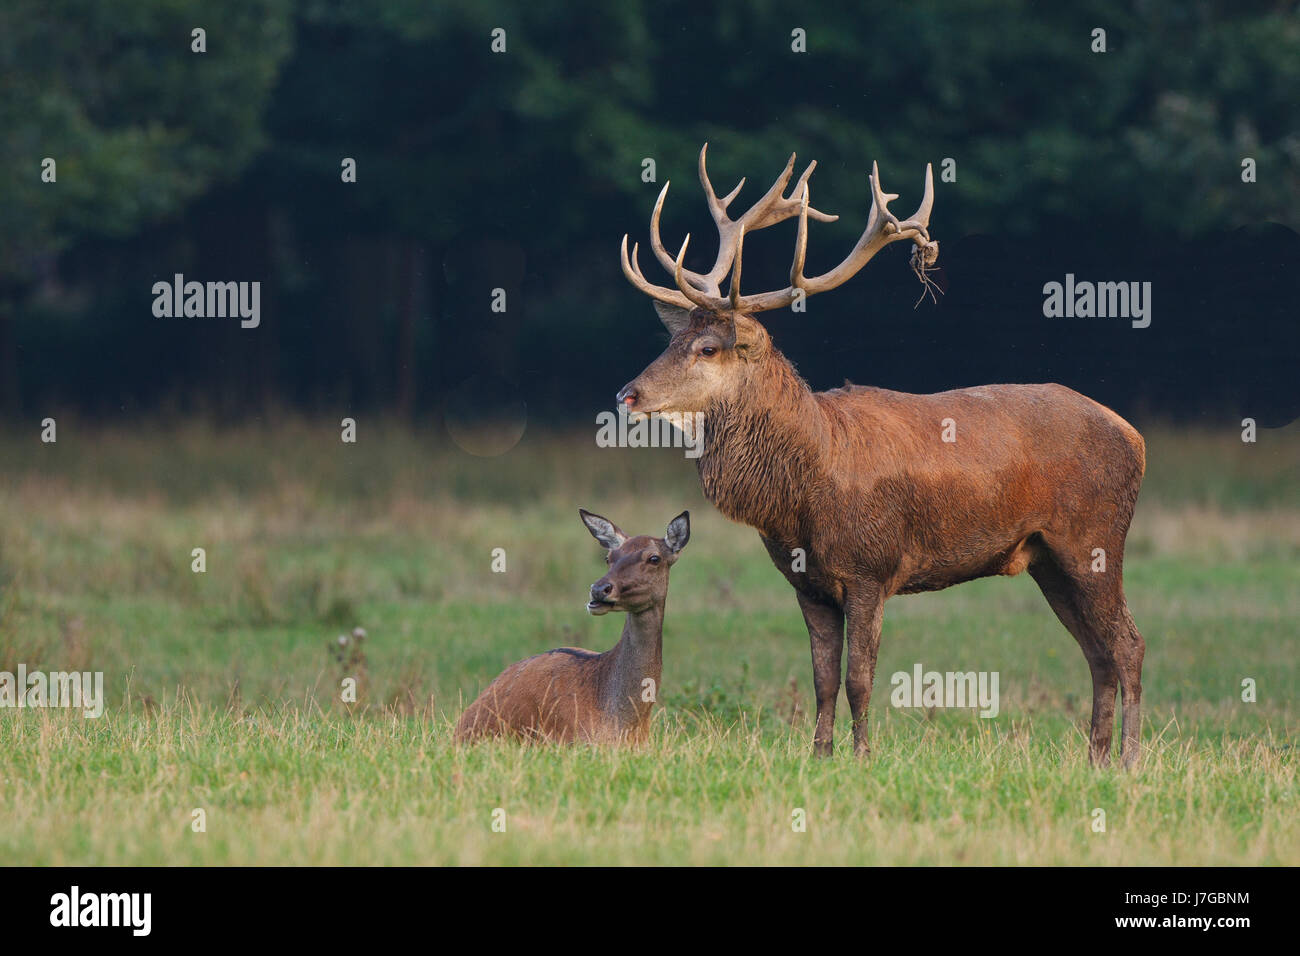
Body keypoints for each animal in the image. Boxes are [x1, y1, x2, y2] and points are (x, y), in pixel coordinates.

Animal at [615, 144, 1147, 768]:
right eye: (669, 341)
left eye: (706, 348)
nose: (627, 394)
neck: (805, 488)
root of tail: (1136, 437)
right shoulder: (807, 584)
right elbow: (822, 679)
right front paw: (819, 757)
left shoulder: (871, 565)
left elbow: (859, 679)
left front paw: (863, 756)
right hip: (1047, 558)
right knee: (1098, 652)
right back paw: (1095, 759)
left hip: (1094, 539)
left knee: (1128, 644)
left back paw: (1129, 759)